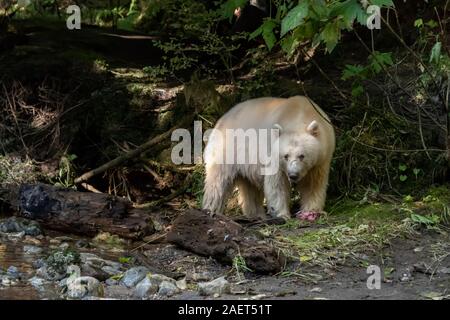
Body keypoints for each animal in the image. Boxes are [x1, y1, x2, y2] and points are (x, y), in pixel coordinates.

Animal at [202, 95, 336, 220]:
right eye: (286, 156)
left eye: (302, 156)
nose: (293, 175)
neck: (299, 113)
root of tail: (222, 119)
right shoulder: (273, 153)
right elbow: (277, 184)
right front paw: (282, 214)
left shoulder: (321, 159)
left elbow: (313, 184)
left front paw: (312, 211)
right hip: (226, 148)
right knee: (218, 181)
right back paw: (211, 210)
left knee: (250, 187)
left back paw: (256, 214)